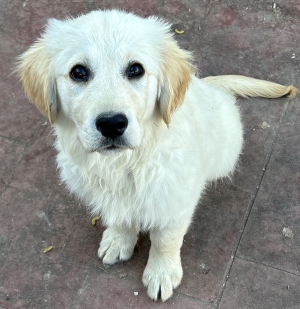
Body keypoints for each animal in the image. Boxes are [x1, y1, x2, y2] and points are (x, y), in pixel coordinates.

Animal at [16, 9, 298, 300]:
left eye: (135, 69)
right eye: (78, 72)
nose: (112, 124)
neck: (124, 162)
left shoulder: (176, 200)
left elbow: (166, 240)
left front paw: (161, 273)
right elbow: (120, 215)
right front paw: (119, 239)